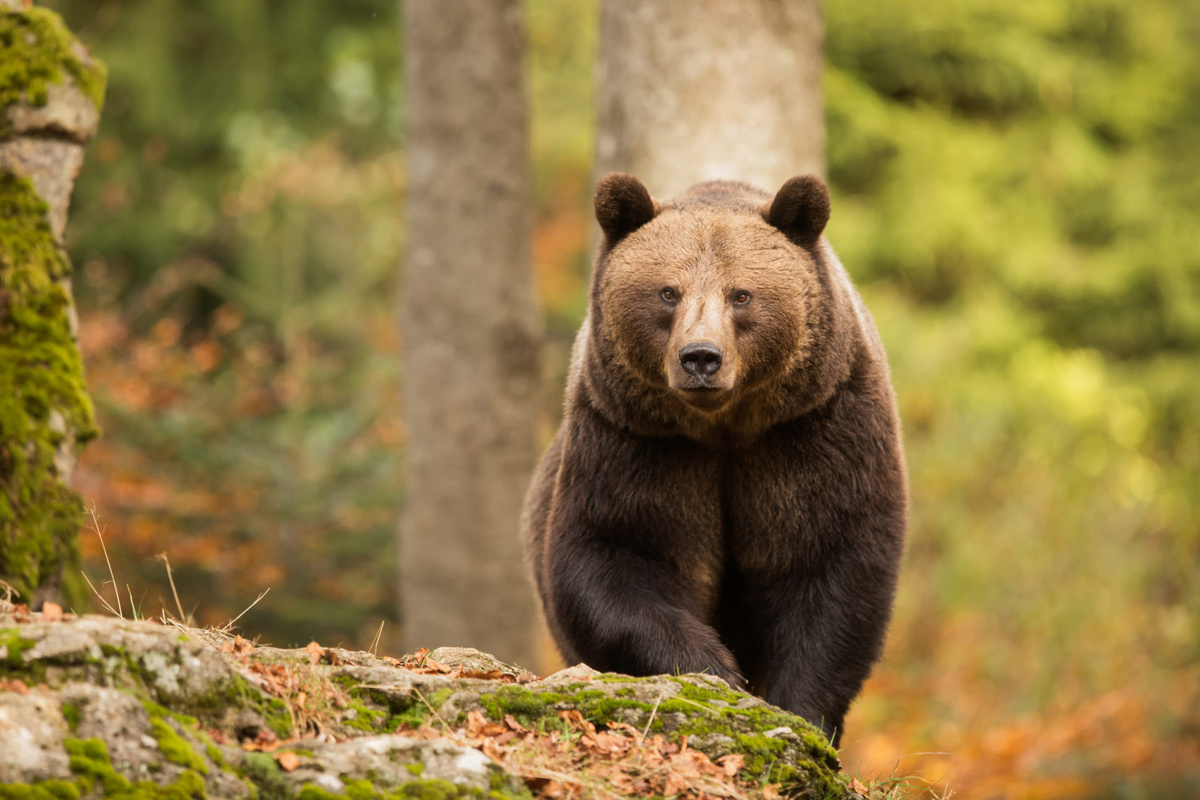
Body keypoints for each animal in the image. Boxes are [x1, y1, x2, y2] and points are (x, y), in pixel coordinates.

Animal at [520, 172, 902, 748]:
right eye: (667, 292)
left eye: (741, 294)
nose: (701, 357)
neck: (724, 427)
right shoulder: (638, 442)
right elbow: (614, 554)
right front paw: (715, 669)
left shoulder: (814, 432)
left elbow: (831, 567)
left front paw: (801, 714)